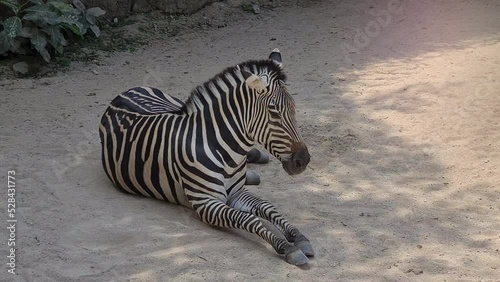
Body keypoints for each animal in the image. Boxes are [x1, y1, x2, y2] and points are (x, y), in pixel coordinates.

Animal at [99, 49, 314, 266]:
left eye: (294, 106)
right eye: (274, 112)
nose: (303, 161)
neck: (228, 153)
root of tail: (125, 92)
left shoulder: (236, 193)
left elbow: (268, 207)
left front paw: (298, 236)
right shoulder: (207, 203)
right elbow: (250, 219)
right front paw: (288, 247)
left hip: (174, 103)